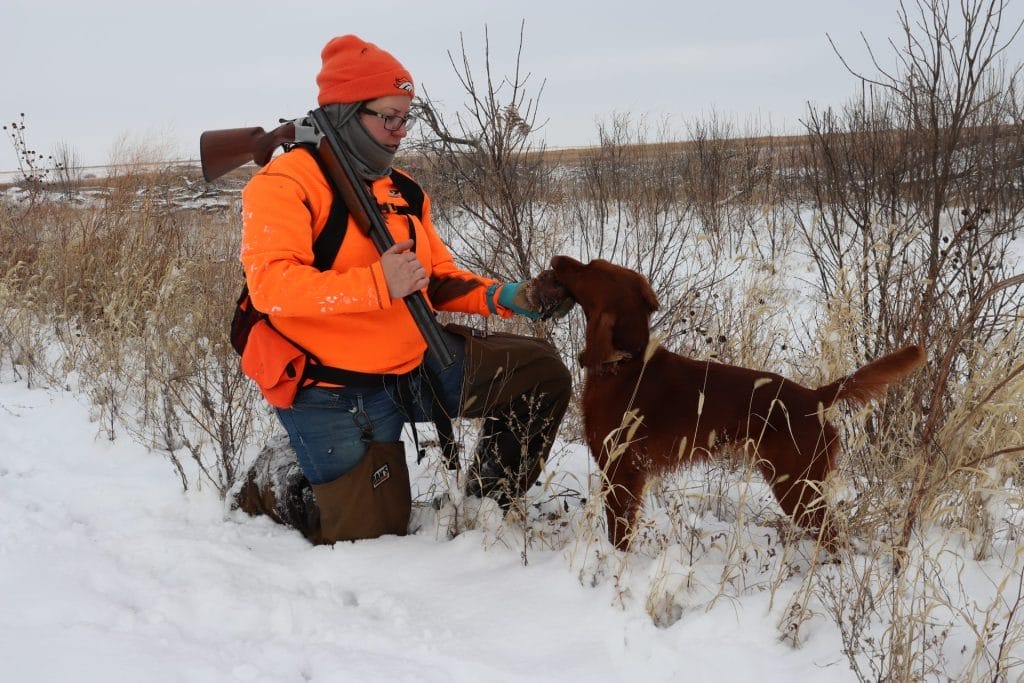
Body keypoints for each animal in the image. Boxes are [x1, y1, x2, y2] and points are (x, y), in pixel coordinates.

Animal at [552, 255, 929, 548]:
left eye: (588, 268)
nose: (557, 259)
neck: (625, 365)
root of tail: (816, 396)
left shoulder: (620, 471)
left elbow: (618, 535)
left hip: (796, 487)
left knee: (833, 538)